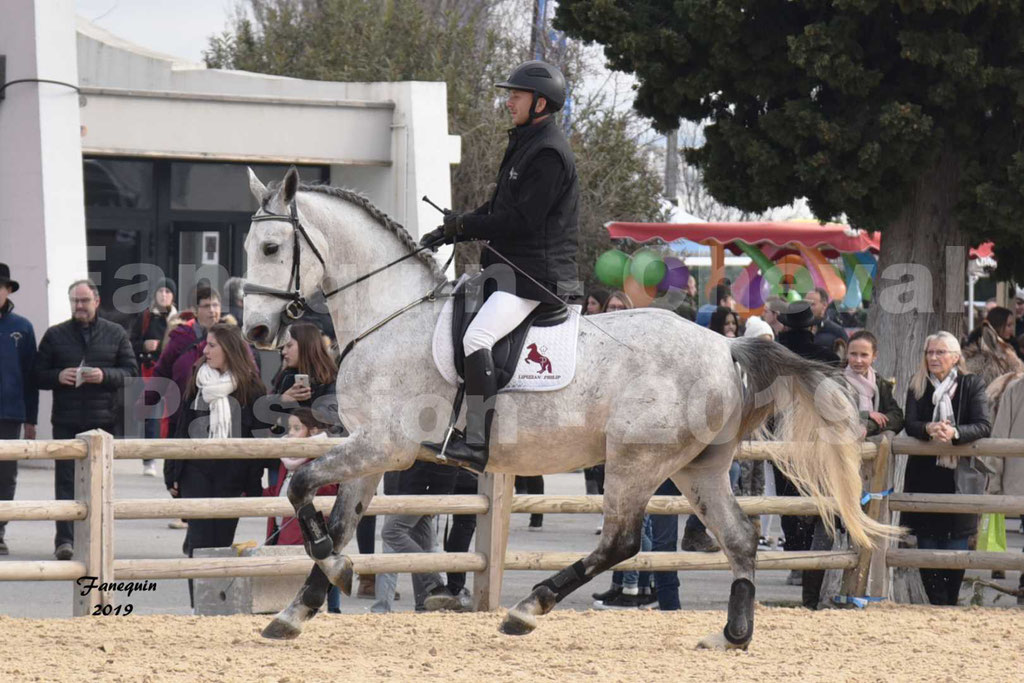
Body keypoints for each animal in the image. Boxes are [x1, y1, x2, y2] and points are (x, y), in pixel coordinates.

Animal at [241, 167, 897, 651]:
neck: (389, 316)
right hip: (698, 467)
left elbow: (300, 484)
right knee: (739, 537)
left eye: (271, 247)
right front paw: (298, 609)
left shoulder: (385, 445)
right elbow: (339, 518)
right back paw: (733, 634)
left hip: (636, 460)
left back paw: (528, 609)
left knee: (621, 542)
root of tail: (725, 344)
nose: (256, 331)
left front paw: (333, 570)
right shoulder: (371, 450)